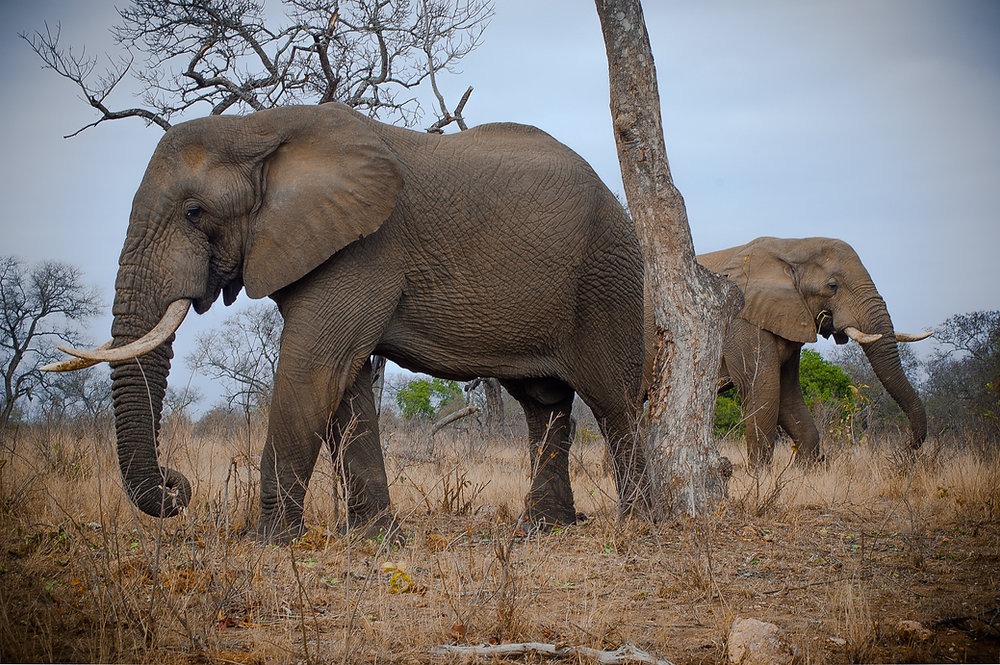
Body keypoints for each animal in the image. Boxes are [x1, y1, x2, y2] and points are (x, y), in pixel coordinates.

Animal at [48, 102, 648, 540]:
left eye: (195, 212)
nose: (177, 486)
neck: (257, 129)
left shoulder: (365, 247)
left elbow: (313, 365)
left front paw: (269, 542)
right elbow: (344, 381)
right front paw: (374, 538)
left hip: (609, 277)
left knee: (615, 401)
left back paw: (641, 522)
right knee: (543, 403)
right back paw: (543, 529)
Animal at [696, 236, 928, 464]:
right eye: (832, 285)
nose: (906, 446)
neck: (791, 245)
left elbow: (787, 396)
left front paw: (803, 468)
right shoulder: (742, 321)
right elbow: (761, 389)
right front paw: (758, 472)